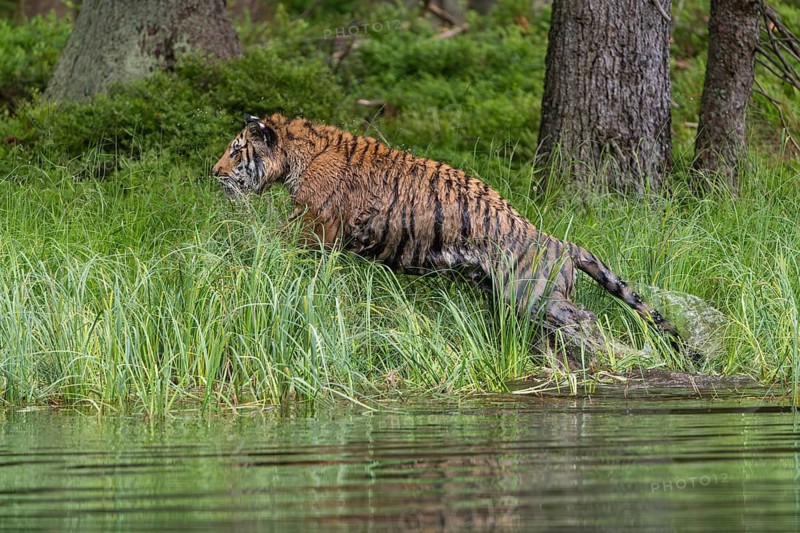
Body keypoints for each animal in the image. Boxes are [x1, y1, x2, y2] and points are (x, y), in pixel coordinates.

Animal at [212, 113, 697, 367]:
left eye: (236, 150)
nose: (214, 172)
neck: (298, 157)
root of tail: (562, 243)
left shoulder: (310, 225)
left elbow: (275, 246)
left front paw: (238, 253)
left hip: (531, 297)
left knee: (586, 318)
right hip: (513, 302)